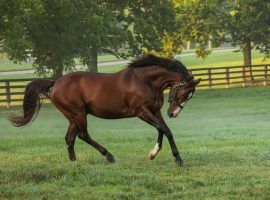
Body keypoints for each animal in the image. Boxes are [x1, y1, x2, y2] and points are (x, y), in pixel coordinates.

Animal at [10, 54, 200, 166]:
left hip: (73, 116)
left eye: (190, 97)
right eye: (185, 94)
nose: (173, 113)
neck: (145, 81)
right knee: (83, 135)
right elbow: (164, 129)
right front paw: (177, 159)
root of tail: (55, 83)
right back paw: (109, 156)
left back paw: (74, 161)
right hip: (78, 114)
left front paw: (153, 153)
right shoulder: (141, 112)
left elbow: (163, 130)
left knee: (70, 138)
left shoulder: (155, 111)